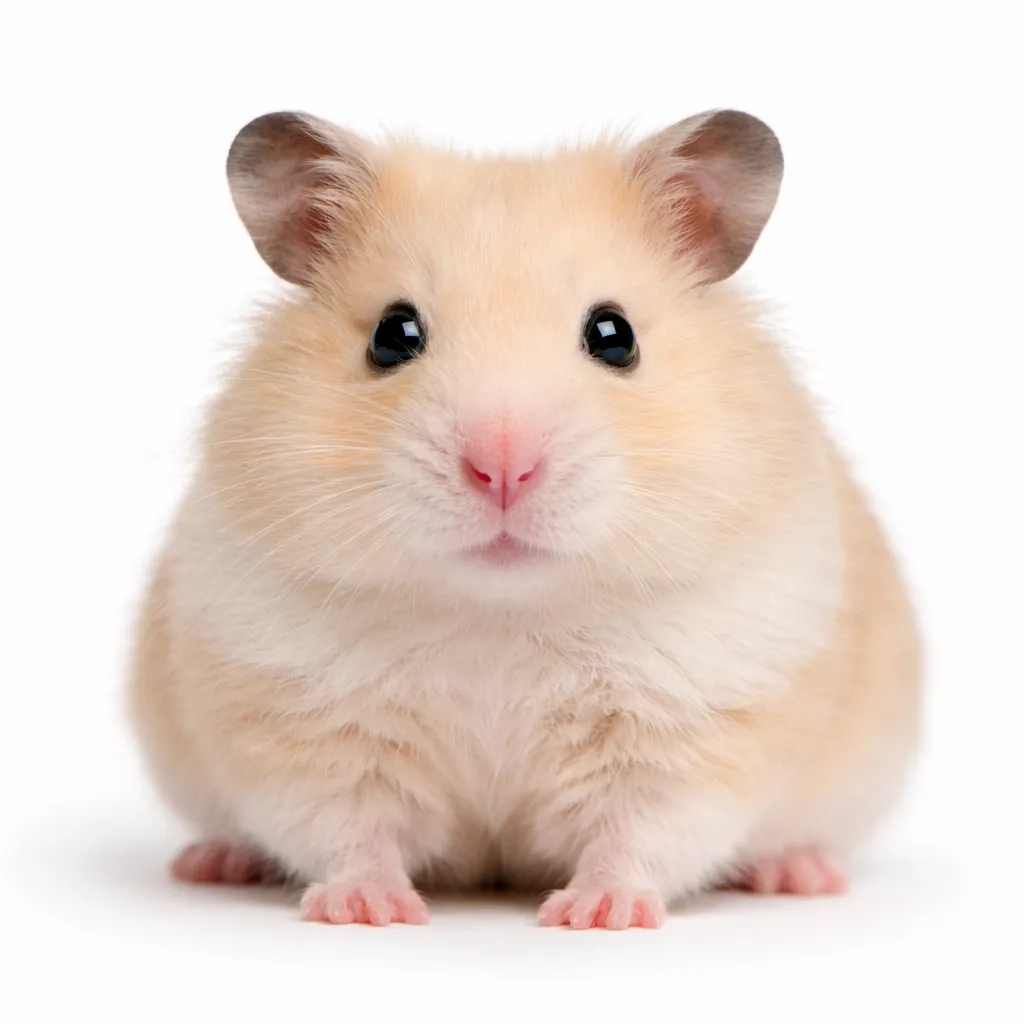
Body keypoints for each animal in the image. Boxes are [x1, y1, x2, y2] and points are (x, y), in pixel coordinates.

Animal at [128, 108, 921, 929]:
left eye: (614, 335)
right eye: (392, 334)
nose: (502, 468)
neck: (499, 615)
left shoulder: (690, 726)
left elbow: (641, 831)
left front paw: (598, 915)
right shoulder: (305, 721)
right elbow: (347, 826)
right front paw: (367, 909)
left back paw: (799, 873)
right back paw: (213, 862)